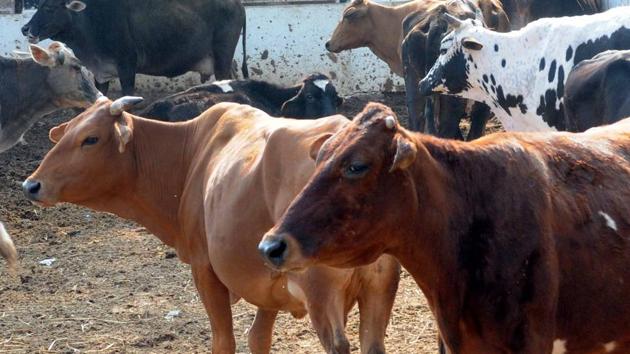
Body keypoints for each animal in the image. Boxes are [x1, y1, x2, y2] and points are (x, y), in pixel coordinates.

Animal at [20, 0, 247, 95]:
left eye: (49, 7)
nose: (25, 28)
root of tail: (238, 4)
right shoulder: (100, 73)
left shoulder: (127, 66)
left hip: (222, 59)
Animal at [24, 97, 402, 354]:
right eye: (66, 133)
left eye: (90, 138)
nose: (32, 185)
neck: (191, 153)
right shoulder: (266, 283)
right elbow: (258, 338)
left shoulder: (205, 270)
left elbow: (224, 341)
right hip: (378, 288)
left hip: (322, 296)